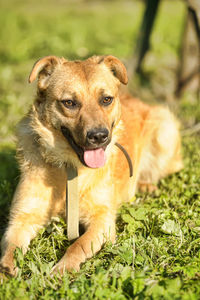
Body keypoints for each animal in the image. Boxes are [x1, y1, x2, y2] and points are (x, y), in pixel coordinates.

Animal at [0, 55, 183, 276]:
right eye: (69, 103)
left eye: (106, 99)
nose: (99, 136)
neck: (70, 167)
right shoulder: (21, 218)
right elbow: (11, 249)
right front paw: (5, 271)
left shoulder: (102, 220)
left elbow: (77, 245)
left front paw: (63, 269)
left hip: (164, 131)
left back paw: (146, 186)